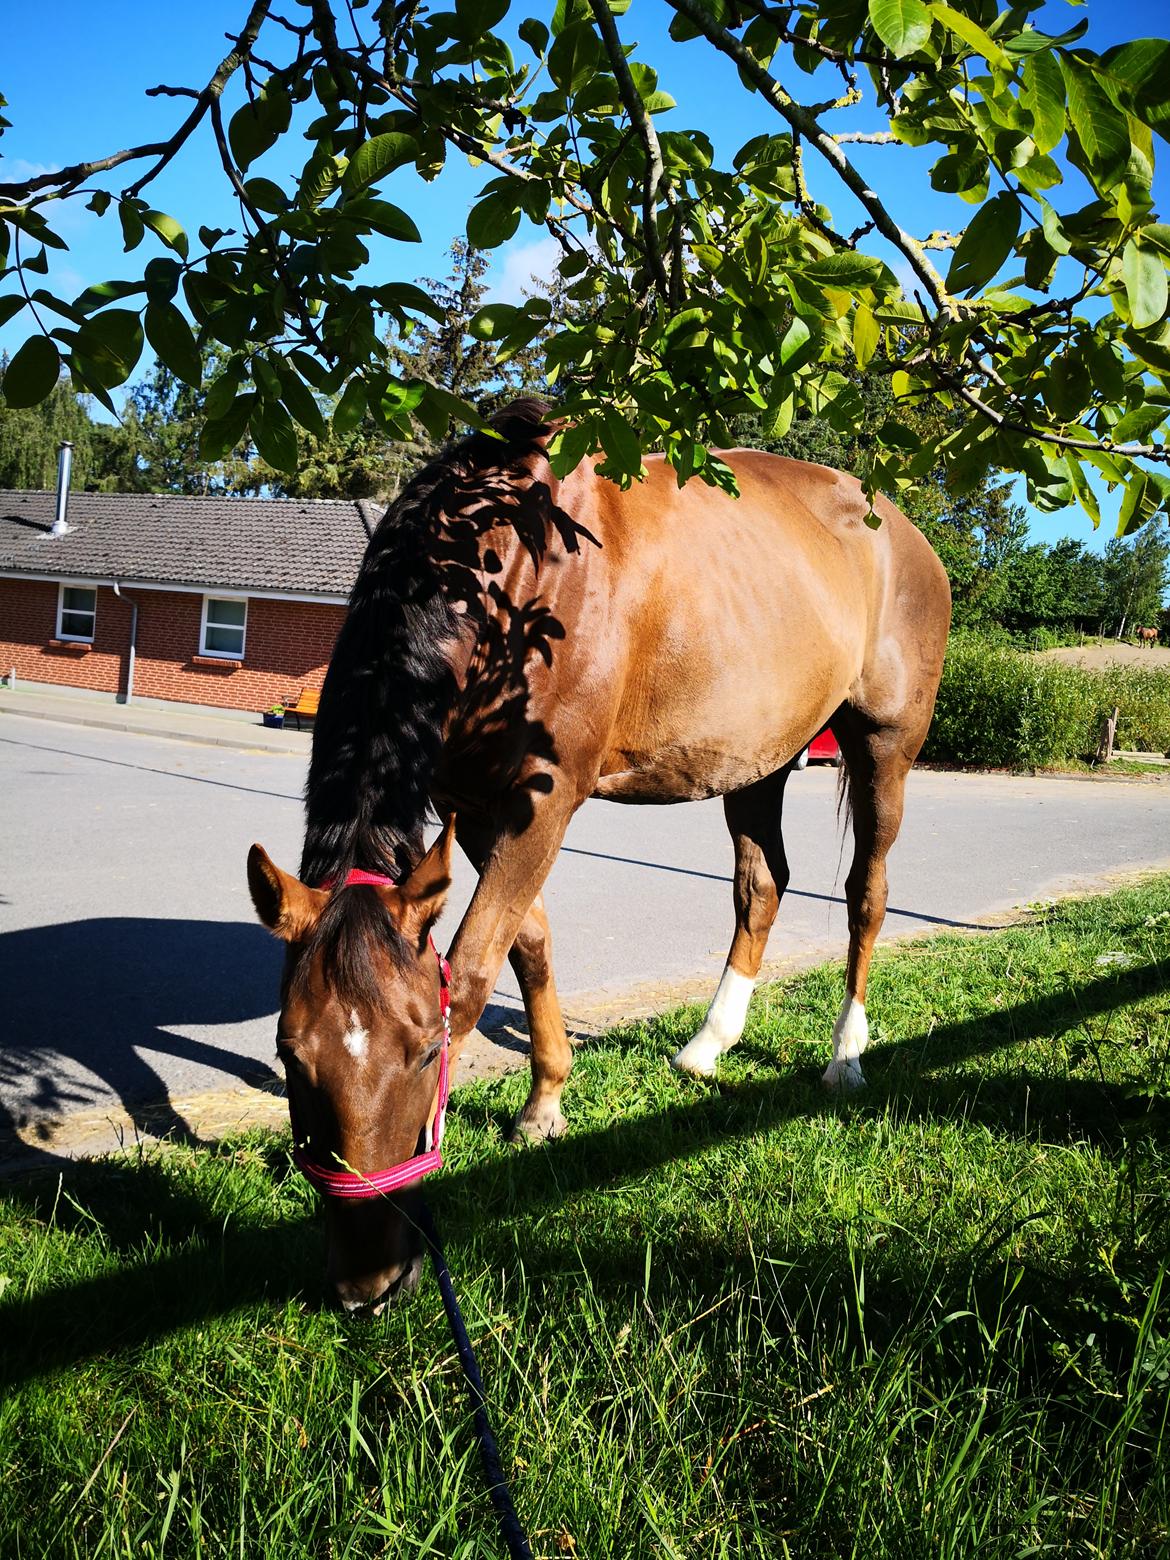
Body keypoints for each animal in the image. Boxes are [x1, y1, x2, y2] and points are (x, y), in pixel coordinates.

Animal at [244, 399, 954, 1304]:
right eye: (289, 1054)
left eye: (428, 1053)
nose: (367, 1284)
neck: (513, 562)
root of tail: (900, 528)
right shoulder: (474, 802)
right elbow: (529, 943)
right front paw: (547, 1099)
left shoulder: (541, 799)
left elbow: (473, 969)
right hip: (760, 756)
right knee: (762, 886)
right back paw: (709, 1045)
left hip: (885, 746)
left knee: (867, 893)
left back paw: (846, 1057)